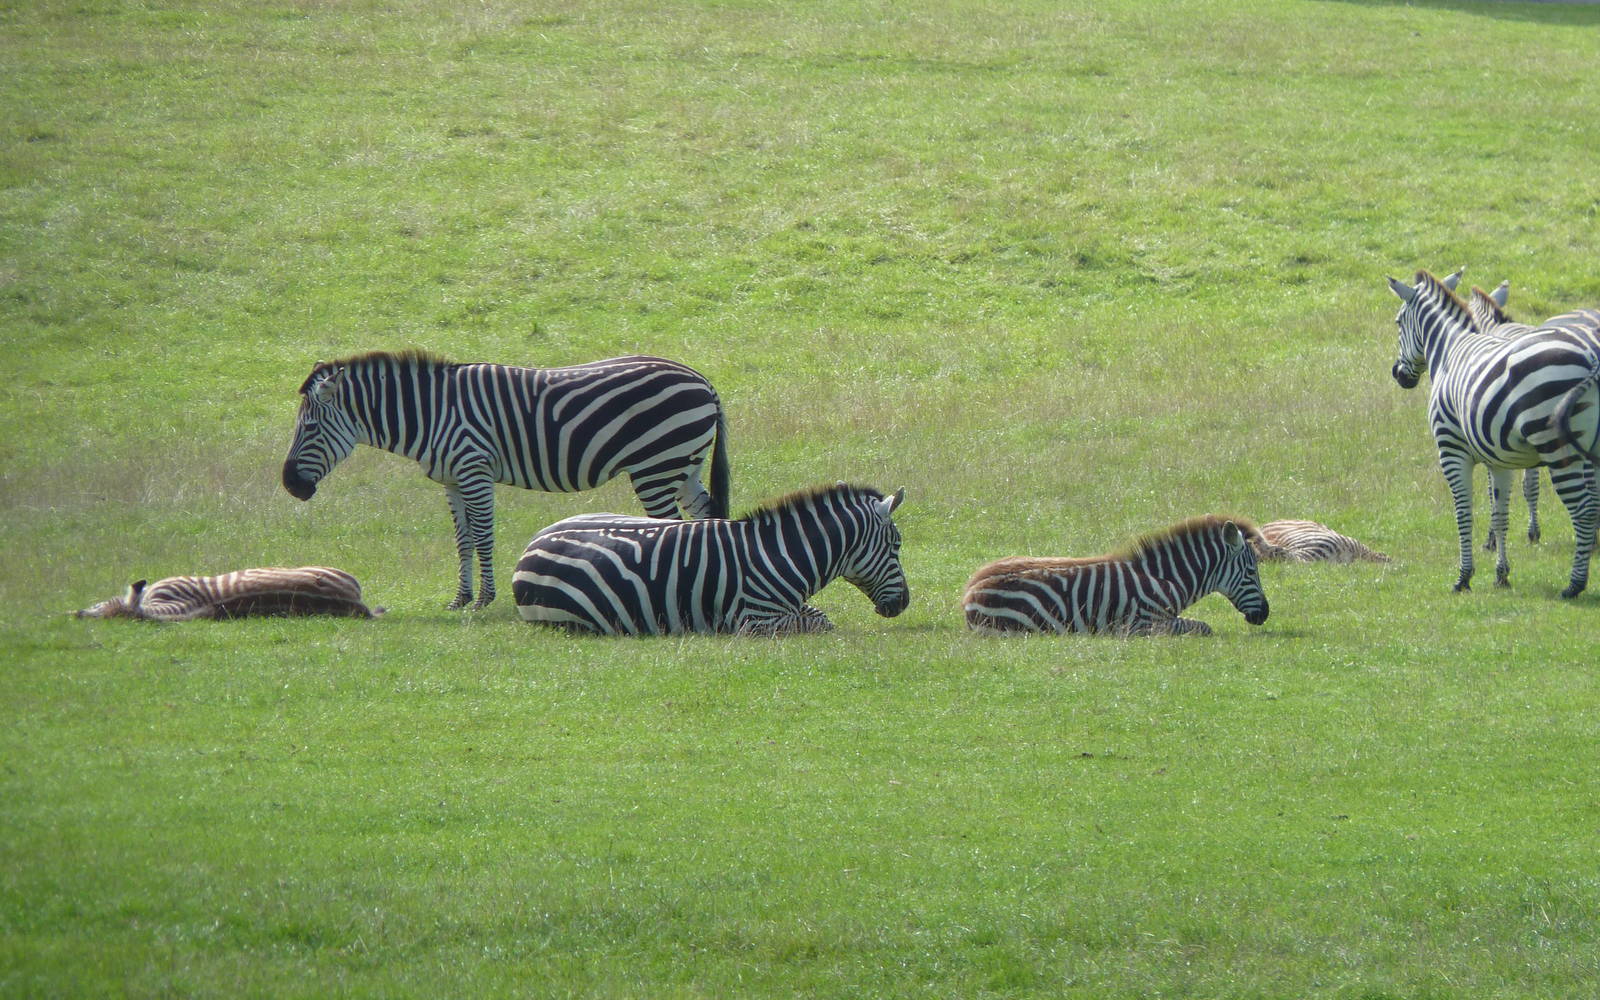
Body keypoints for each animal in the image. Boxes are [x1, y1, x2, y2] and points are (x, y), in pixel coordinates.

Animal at [282, 351, 731, 610]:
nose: (290, 486)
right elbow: (462, 540)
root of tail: (702, 379)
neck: (430, 413)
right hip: (685, 464)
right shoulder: (451, 480)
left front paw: (484, 599)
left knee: (669, 526)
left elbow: (483, 536)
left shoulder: (474, 469)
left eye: (309, 428)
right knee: (706, 517)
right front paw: (460, 598)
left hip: (656, 463)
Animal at [511, 483, 908, 635]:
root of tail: (531, 545)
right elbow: (818, 624)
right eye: (898, 545)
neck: (778, 554)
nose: (904, 603)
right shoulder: (757, 621)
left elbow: (820, 616)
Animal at [962, 514, 1269, 636]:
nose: (1264, 614)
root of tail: (969, 591)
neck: (1167, 579)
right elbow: (1203, 627)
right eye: (1251, 572)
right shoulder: (1143, 623)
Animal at [1388, 269, 1600, 596]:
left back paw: (1574, 585)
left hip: (1557, 446)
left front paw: (1464, 577)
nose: (1398, 374)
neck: (1448, 350)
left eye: (1399, 322)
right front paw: (1501, 574)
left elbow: (1464, 512)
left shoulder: (1451, 451)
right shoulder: (1499, 459)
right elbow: (1500, 514)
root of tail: (1590, 358)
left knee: (1583, 508)